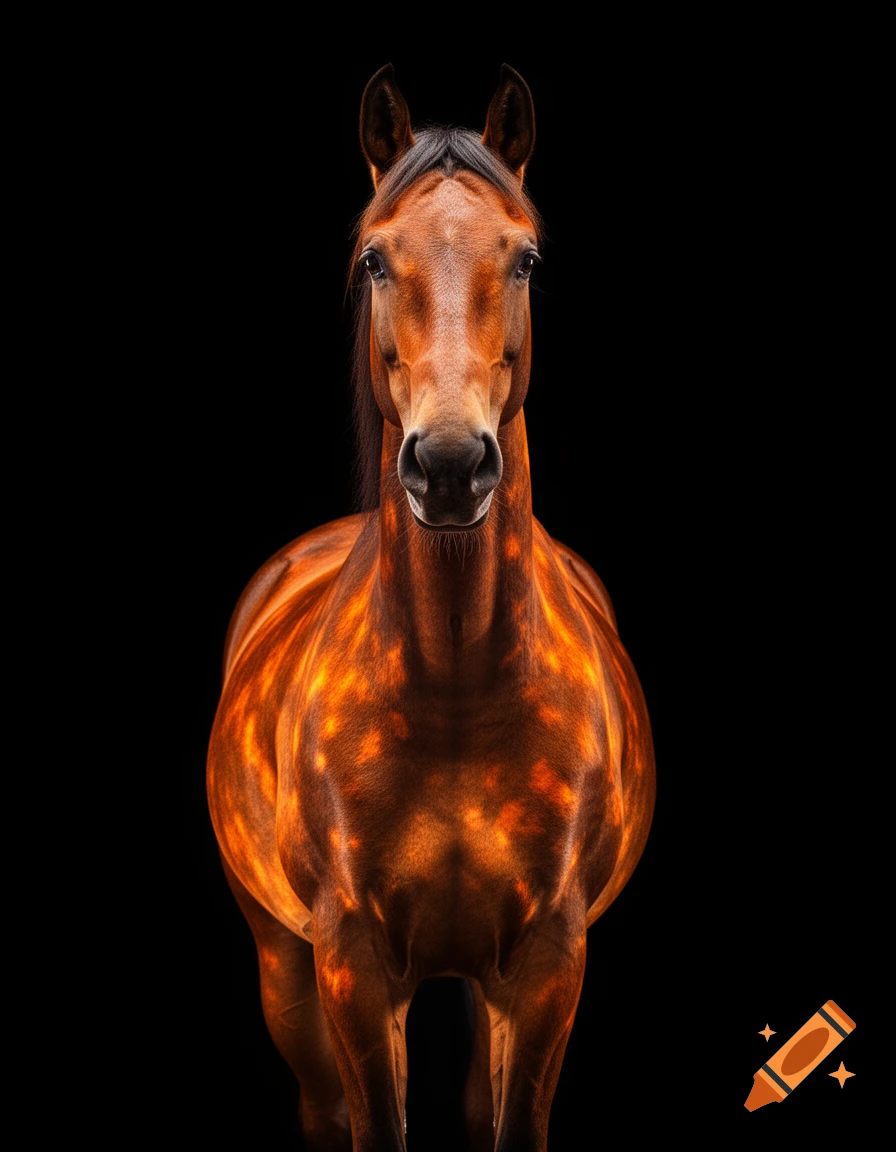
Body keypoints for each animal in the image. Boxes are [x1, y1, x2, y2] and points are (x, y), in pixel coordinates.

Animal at [207, 63, 655, 1151]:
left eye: (525, 257)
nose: (449, 466)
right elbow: (374, 1122)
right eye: (375, 258)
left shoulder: (547, 961)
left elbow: (513, 1123)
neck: (457, 695)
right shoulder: (351, 965)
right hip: (282, 965)